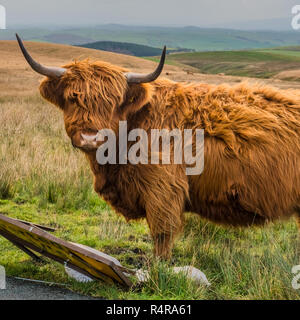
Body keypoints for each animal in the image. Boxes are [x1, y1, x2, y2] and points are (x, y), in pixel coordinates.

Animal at [16, 35, 300, 260]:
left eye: (113, 102)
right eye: (73, 97)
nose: (90, 137)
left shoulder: (163, 189)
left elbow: (162, 234)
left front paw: (159, 269)